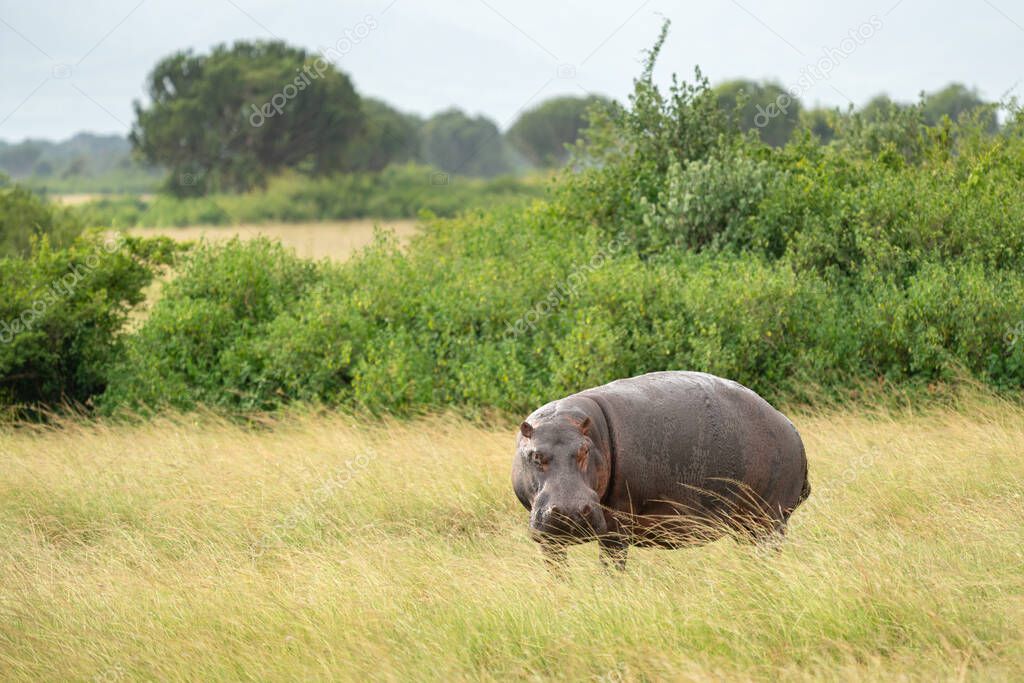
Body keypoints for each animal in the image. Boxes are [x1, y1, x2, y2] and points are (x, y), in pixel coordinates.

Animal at [512, 370, 806, 569]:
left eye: (584, 450)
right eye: (535, 455)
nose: (570, 511)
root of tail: (789, 426)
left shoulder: (617, 524)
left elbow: (611, 566)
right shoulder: (548, 537)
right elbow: (556, 569)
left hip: (771, 520)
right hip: (747, 526)